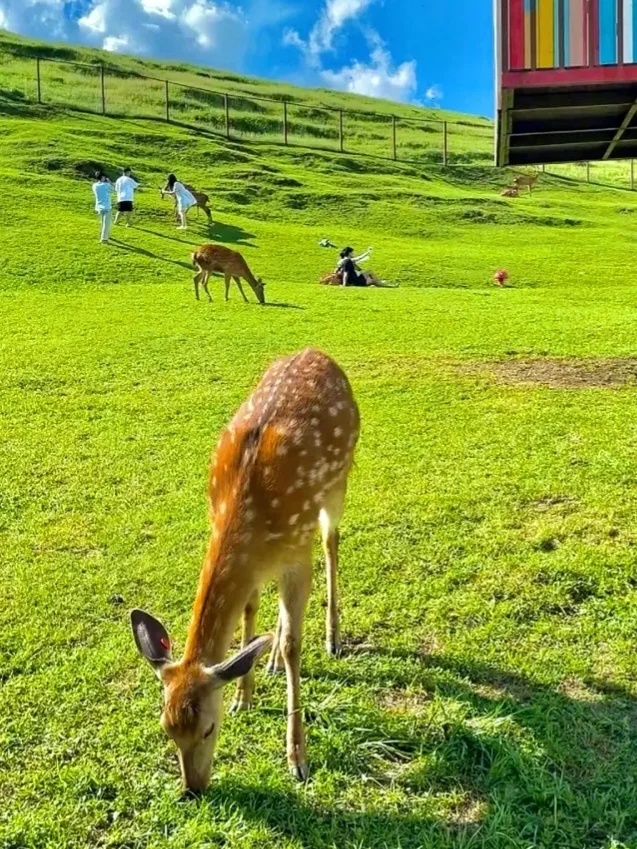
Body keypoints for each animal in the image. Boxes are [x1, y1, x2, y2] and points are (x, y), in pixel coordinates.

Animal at [130, 350, 358, 788]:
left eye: (208, 728)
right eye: (166, 728)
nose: (193, 789)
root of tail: (316, 351)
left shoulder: (296, 551)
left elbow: (293, 646)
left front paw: (297, 758)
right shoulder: (258, 562)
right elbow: (251, 614)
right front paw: (243, 696)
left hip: (339, 484)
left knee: (331, 543)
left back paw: (332, 639)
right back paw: (268, 661)